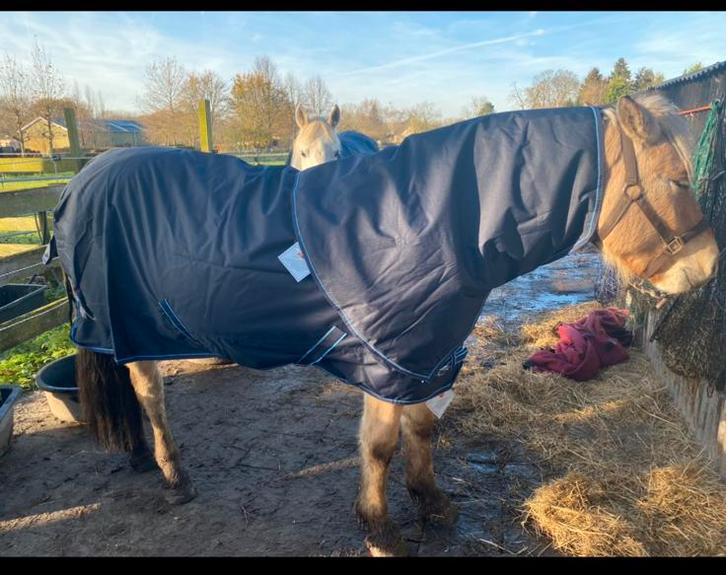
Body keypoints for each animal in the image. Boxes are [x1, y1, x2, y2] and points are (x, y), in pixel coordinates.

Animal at [48, 93, 718, 556]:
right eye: (677, 179)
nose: (709, 266)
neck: (425, 222)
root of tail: (85, 176)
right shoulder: (384, 355)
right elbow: (380, 445)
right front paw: (379, 529)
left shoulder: (427, 354)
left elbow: (422, 431)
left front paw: (432, 502)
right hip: (133, 327)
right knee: (149, 394)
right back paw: (173, 474)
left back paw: (140, 458)